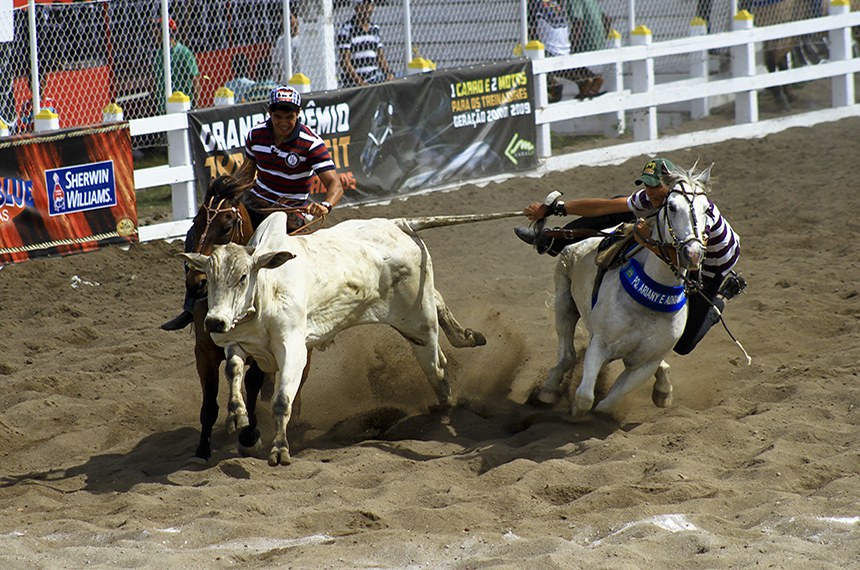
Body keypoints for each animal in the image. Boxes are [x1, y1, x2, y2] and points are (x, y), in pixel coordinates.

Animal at [181, 211, 512, 464]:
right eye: (210, 277)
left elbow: (282, 400)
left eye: (242, 277)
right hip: (421, 308)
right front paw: (237, 414)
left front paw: (280, 450)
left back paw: (443, 412)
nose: (214, 321)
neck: (267, 289)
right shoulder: (238, 344)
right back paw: (468, 336)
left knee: (438, 369)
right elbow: (233, 369)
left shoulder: (293, 351)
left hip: (420, 324)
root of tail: (399, 223)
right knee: (439, 305)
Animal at [536, 164, 712, 418]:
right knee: (567, 355)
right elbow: (584, 397)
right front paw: (574, 411)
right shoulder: (599, 344)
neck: (649, 303)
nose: (693, 253)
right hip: (564, 300)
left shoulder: (645, 364)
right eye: (672, 206)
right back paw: (548, 390)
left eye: (707, 209)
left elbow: (606, 404)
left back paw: (663, 390)